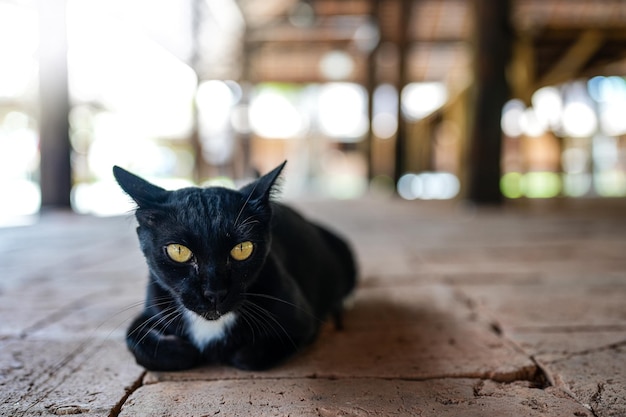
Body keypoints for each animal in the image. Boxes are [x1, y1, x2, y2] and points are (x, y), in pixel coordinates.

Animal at [112, 162, 356, 370]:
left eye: (242, 249)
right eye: (178, 251)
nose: (214, 292)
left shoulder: (301, 324)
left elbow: (246, 357)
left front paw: (224, 351)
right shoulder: (150, 310)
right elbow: (134, 340)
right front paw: (183, 350)